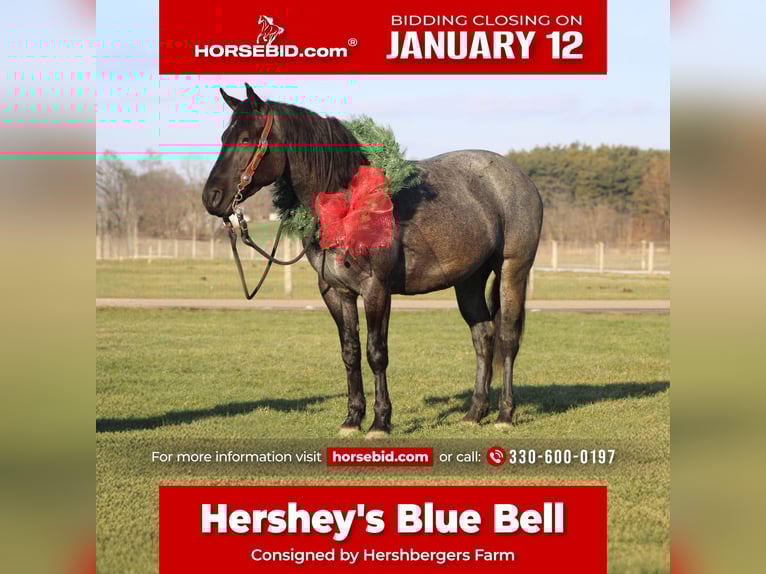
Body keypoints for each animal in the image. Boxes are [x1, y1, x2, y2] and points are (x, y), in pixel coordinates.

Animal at [202, 84, 543, 438]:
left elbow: (376, 353)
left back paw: (505, 414)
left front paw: (380, 421)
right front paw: (352, 418)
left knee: (507, 339)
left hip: (512, 271)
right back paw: (474, 412)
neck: (348, 204)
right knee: (483, 336)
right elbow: (350, 353)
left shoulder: (376, 289)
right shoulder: (336, 292)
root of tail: (519, 178)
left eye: (245, 139)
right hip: (468, 281)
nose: (211, 197)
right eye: (225, 136)